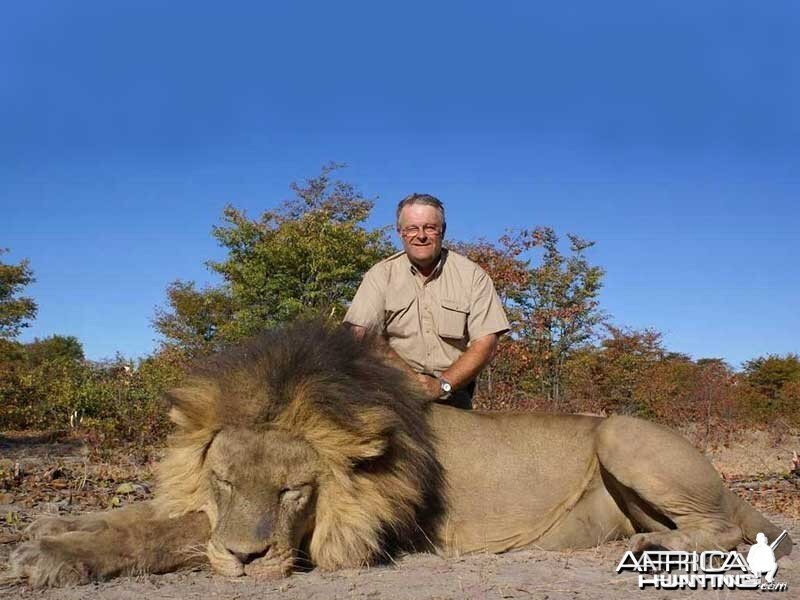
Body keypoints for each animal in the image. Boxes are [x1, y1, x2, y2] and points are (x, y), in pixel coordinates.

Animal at [7, 324, 792, 584]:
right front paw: (50, 534)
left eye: (294, 493)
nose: (246, 561)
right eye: (223, 479)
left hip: (622, 434)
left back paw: (645, 548)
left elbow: (174, 534)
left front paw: (49, 555)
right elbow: (154, 519)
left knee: (724, 529)